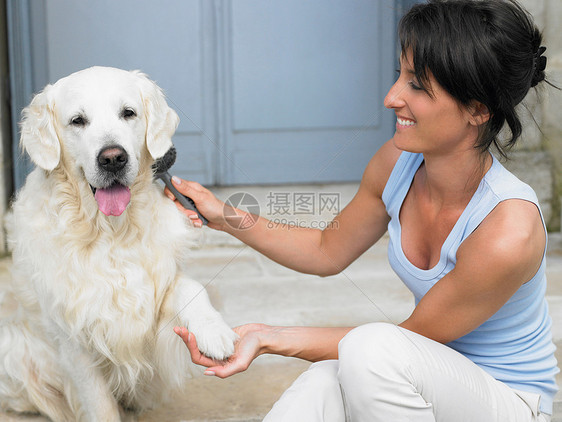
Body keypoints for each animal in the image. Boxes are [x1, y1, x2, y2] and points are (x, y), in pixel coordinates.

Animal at [0, 67, 236, 420]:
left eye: (128, 113)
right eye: (78, 120)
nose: (113, 158)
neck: (111, 231)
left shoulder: (152, 299)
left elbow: (191, 287)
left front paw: (214, 330)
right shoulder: (72, 338)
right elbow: (99, 404)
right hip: (14, 352)